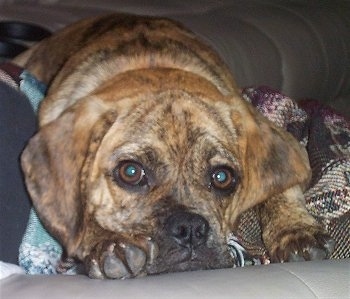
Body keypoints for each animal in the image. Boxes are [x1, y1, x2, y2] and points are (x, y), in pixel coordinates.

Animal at [16, 13, 334, 282]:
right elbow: (84, 216)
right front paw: (107, 243)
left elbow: (281, 188)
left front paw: (295, 230)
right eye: (131, 172)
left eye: (223, 177)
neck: (152, 66)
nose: (190, 229)